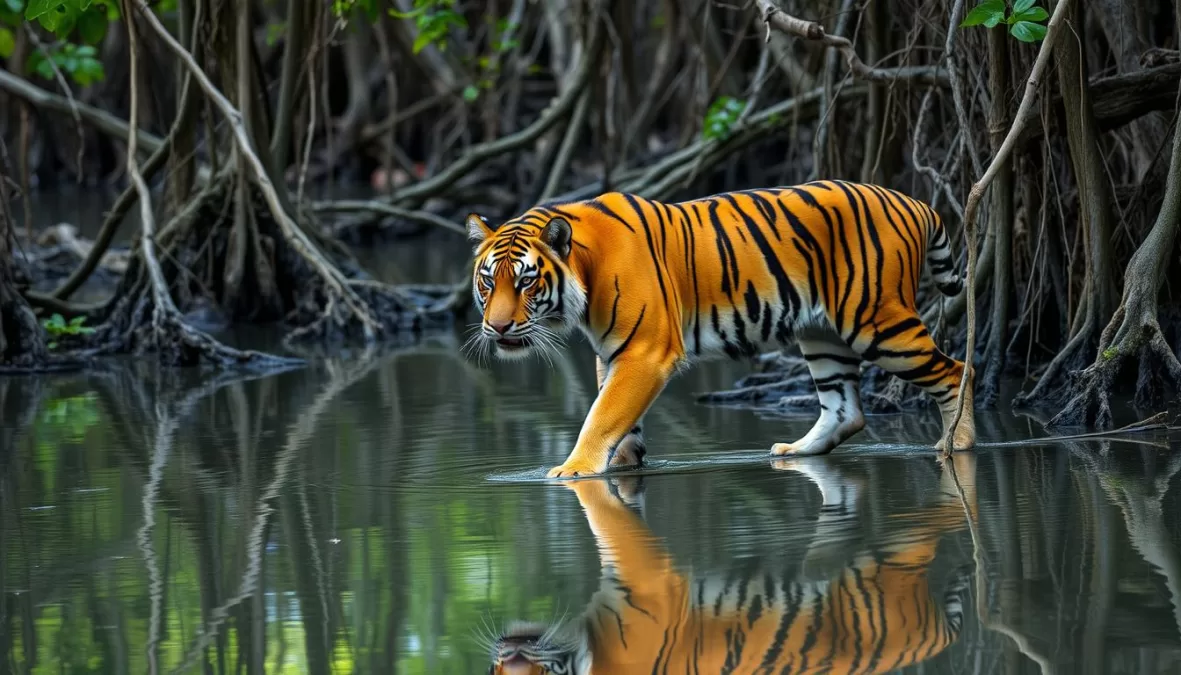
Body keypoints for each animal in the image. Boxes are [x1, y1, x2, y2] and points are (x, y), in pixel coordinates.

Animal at [466, 180, 976, 478]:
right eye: (489, 281)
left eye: (526, 281)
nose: (498, 327)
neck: (586, 272)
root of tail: (916, 202)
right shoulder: (612, 353)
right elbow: (617, 415)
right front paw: (626, 464)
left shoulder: (644, 351)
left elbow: (602, 413)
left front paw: (574, 470)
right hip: (821, 333)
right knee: (846, 409)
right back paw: (794, 450)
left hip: (877, 321)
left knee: (956, 369)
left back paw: (958, 443)